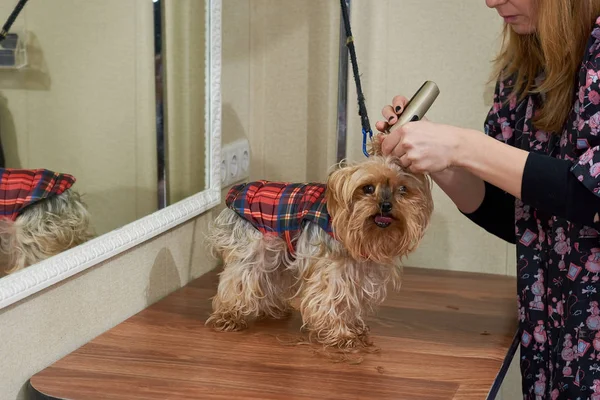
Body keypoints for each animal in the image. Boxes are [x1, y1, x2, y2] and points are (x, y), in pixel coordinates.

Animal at [205, 140, 432, 350]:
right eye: (367, 188)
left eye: (402, 189)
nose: (386, 205)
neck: (367, 235)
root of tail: (235, 192)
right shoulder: (332, 270)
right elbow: (330, 298)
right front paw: (341, 336)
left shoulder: (357, 269)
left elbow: (350, 300)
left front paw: (354, 327)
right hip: (255, 245)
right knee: (239, 277)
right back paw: (228, 316)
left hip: (278, 248)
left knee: (269, 277)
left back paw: (273, 309)